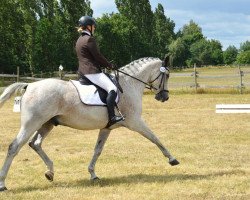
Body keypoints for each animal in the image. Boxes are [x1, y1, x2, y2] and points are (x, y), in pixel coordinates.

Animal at [0, 56, 180, 191]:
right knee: (14, 147)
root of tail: (29, 85)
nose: (164, 97)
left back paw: (50, 172)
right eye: (167, 76)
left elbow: (97, 150)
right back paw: (3, 184)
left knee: (35, 143)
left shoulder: (107, 128)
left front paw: (93, 174)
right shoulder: (135, 121)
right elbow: (155, 138)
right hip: (32, 123)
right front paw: (172, 159)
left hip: (47, 123)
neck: (129, 85)